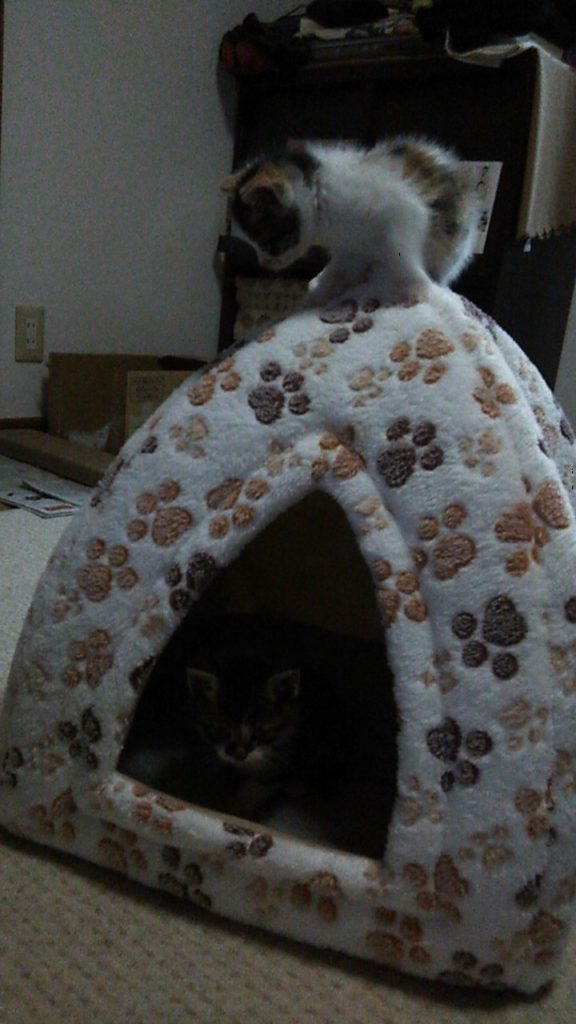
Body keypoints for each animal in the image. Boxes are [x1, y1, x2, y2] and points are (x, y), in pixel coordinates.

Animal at [221, 135, 479, 307]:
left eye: (269, 244)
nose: (264, 265)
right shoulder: (349, 247)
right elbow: (342, 266)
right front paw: (322, 291)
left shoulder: (403, 213)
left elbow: (402, 254)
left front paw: (416, 288)